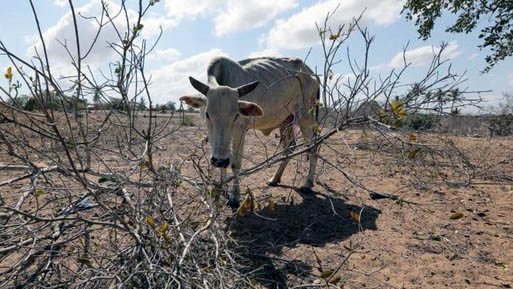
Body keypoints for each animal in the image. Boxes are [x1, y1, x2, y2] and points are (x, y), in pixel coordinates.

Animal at [178, 56, 318, 208]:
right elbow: (223, 164)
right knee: (290, 147)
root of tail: (311, 73)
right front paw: (222, 188)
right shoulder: (213, 136)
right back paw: (275, 178)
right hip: (287, 120)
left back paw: (307, 184)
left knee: (313, 147)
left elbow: (235, 164)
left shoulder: (240, 130)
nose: (220, 160)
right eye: (208, 114)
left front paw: (235, 197)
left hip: (306, 116)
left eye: (236, 115)